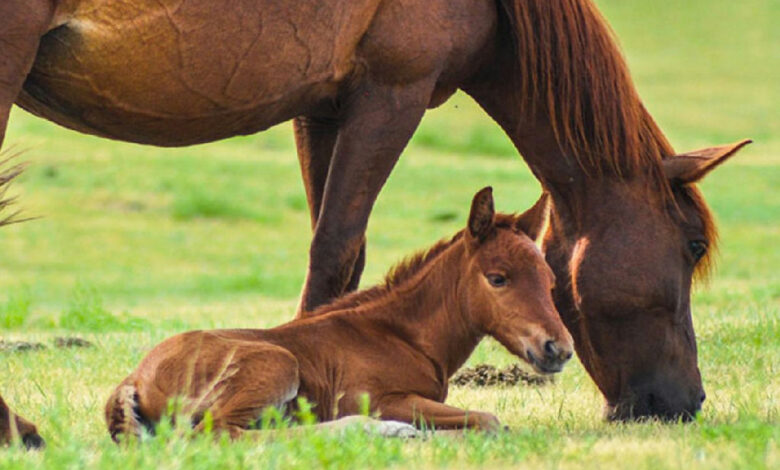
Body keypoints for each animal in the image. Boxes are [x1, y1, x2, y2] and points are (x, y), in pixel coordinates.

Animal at [105, 188, 573, 441]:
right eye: (498, 278)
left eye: (550, 279)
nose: (559, 349)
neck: (402, 335)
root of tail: (133, 378)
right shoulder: (380, 398)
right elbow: (488, 419)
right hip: (276, 363)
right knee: (223, 433)